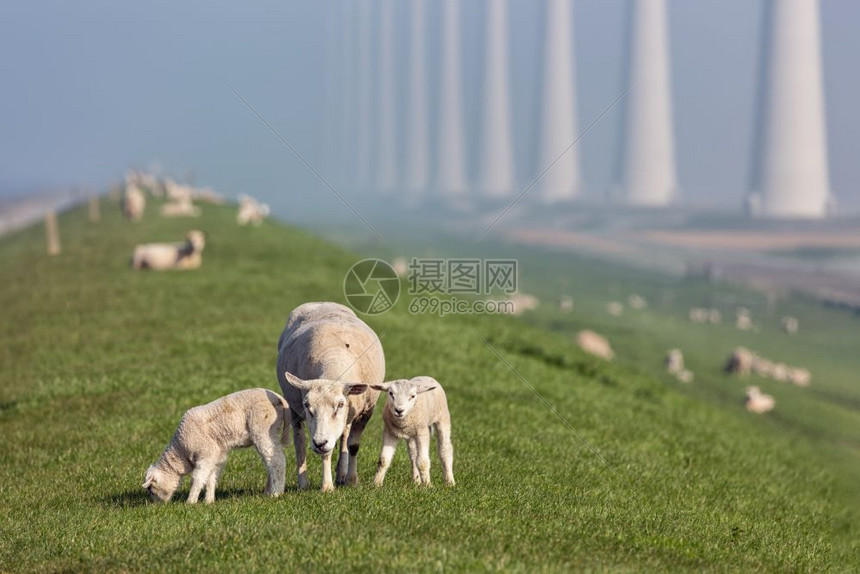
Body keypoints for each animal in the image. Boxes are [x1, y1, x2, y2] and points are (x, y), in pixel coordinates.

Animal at [142, 390, 288, 506]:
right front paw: (209, 501)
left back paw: (276, 493)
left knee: (277, 461)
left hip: (263, 429)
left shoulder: (205, 454)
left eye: (150, 489)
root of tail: (278, 397)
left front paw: (190, 502)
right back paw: (269, 491)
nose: (156, 506)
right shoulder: (216, 456)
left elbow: (197, 478)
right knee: (270, 462)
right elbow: (211, 478)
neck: (181, 451)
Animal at [278, 304, 384, 492]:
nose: (319, 443)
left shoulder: (365, 412)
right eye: (307, 405)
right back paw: (303, 483)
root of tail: (321, 302)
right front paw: (327, 486)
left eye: (340, 404)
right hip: (293, 409)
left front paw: (351, 480)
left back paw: (341, 474)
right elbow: (326, 452)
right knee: (300, 442)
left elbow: (352, 445)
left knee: (343, 436)